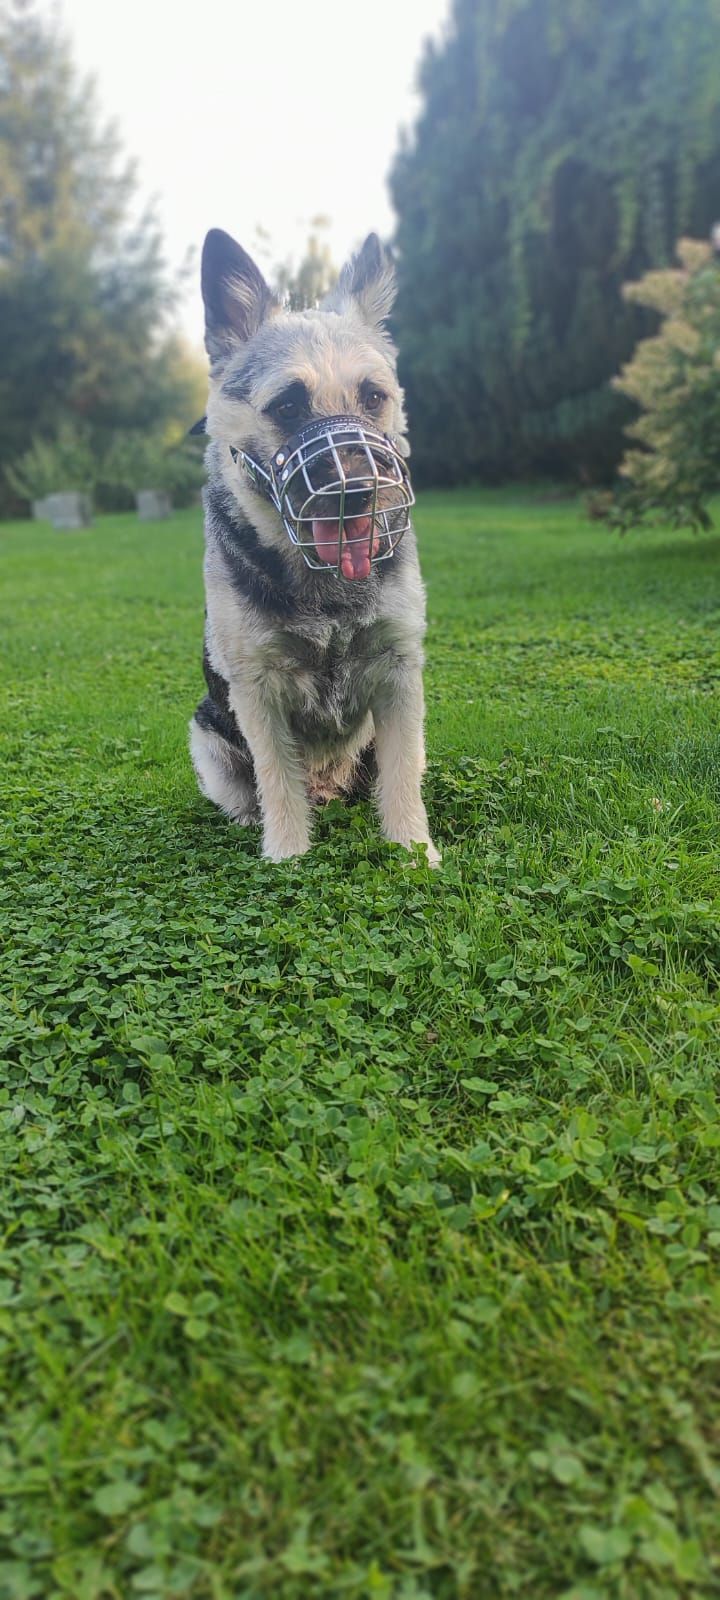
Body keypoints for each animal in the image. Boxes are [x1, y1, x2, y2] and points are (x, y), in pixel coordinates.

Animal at [188, 224, 438, 864]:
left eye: (373, 397)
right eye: (287, 405)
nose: (360, 490)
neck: (325, 590)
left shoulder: (399, 674)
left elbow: (403, 773)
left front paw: (414, 849)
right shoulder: (257, 692)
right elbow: (277, 778)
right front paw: (288, 855)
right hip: (206, 733)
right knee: (247, 791)